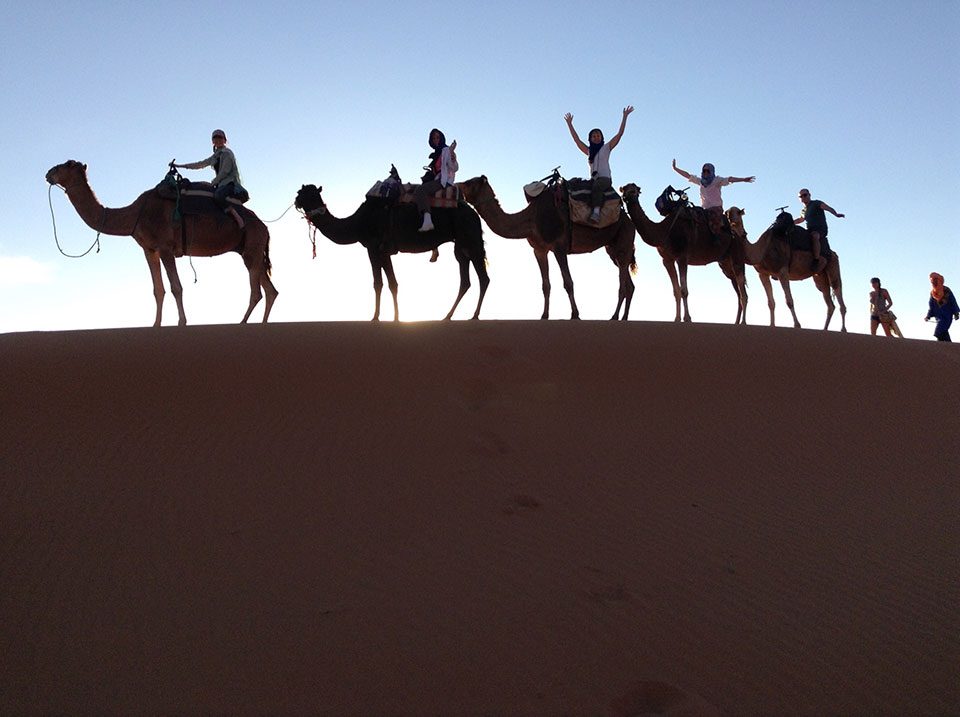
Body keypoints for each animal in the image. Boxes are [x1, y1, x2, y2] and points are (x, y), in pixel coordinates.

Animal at [45, 161, 278, 326]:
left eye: (68, 164)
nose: (48, 172)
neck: (136, 214)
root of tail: (265, 228)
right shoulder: (150, 250)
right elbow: (158, 289)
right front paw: (156, 324)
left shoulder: (166, 247)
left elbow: (176, 287)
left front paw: (182, 322)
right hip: (251, 250)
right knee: (270, 290)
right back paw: (261, 324)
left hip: (252, 245)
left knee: (257, 291)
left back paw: (242, 323)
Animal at [292, 183, 488, 320]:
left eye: (303, 193)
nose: (296, 201)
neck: (357, 222)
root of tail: (474, 214)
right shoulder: (384, 251)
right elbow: (391, 283)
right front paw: (392, 317)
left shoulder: (374, 247)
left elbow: (379, 283)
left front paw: (378, 317)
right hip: (461, 245)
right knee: (465, 280)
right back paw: (448, 316)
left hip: (471, 239)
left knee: (483, 278)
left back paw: (474, 316)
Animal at [458, 173, 636, 318]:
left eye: (468, 183)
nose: (456, 186)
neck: (532, 218)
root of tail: (628, 219)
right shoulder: (539, 250)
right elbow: (545, 285)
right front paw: (544, 315)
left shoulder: (559, 247)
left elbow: (568, 282)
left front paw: (575, 314)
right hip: (612, 249)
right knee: (629, 283)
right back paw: (623, 317)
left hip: (624, 240)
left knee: (622, 284)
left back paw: (614, 317)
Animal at [616, 183, 752, 324]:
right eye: (623, 190)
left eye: (634, 191)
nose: (625, 198)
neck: (664, 231)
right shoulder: (667, 260)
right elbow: (676, 291)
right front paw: (676, 319)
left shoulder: (682, 257)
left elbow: (684, 290)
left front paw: (687, 318)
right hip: (725, 263)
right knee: (737, 290)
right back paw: (736, 322)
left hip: (737, 258)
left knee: (743, 293)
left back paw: (743, 322)